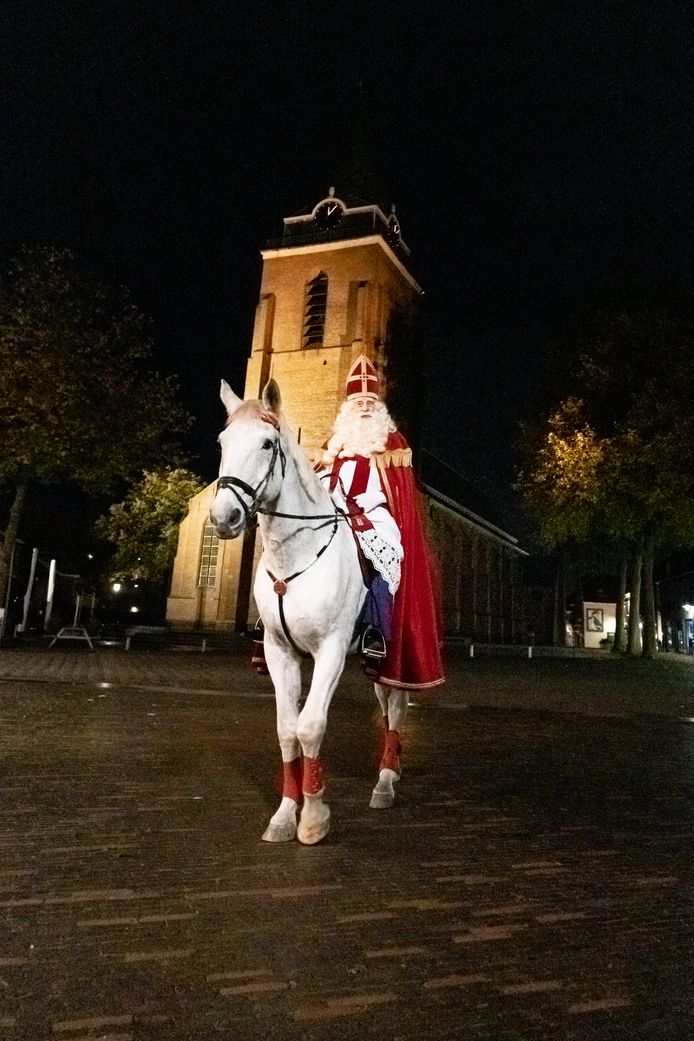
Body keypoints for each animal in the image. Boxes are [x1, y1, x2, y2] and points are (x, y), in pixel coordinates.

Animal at [212, 378, 407, 841]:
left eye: (267, 443)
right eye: (222, 442)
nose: (224, 517)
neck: (295, 556)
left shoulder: (330, 651)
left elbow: (309, 725)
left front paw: (314, 815)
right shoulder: (279, 651)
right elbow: (287, 731)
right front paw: (285, 814)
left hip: (395, 656)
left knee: (394, 707)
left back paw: (386, 782)